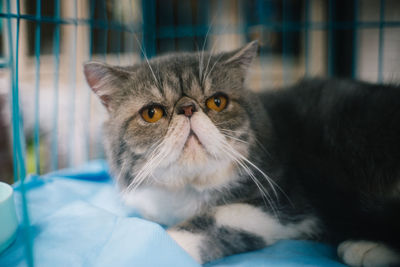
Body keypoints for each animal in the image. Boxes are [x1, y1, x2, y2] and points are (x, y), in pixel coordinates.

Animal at [83, 40, 400, 266]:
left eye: (218, 102)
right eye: (151, 113)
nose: (188, 108)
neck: (189, 189)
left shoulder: (283, 202)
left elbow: (213, 218)